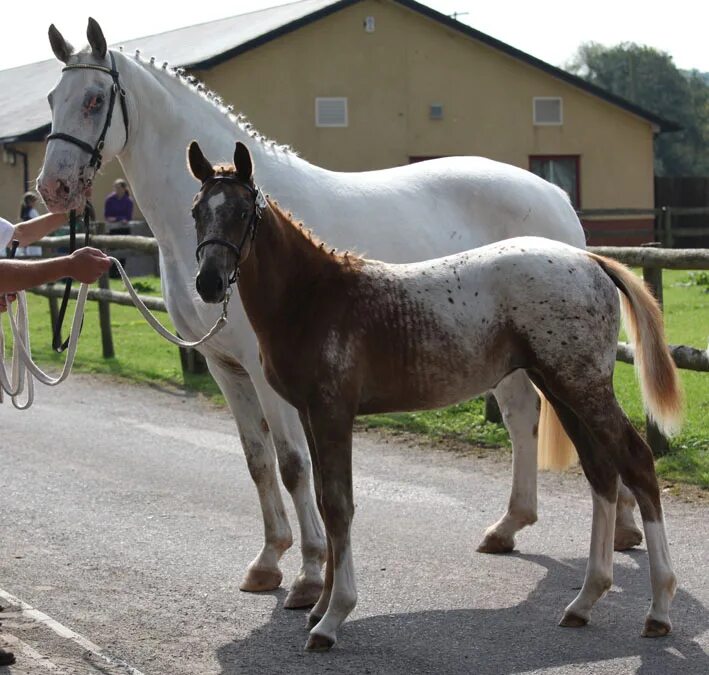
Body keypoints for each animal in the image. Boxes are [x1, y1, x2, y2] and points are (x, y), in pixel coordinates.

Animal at [36, 18, 640, 608]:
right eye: (52, 98)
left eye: (94, 99)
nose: (53, 187)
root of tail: (556, 197)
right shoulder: (223, 367)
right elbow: (258, 462)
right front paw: (268, 562)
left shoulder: (268, 373)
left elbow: (293, 464)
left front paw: (308, 574)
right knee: (522, 417)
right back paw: (511, 527)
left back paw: (623, 528)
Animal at [187, 143, 680, 656]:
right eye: (197, 211)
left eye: (243, 212)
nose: (209, 283)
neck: (315, 298)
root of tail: (592, 261)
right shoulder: (309, 414)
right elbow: (325, 502)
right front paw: (320, 608)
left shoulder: (332, 413)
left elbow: (340, 507)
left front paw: (333, 616)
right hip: (563, 389)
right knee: (601, 472)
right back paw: (585, 601)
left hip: (583, 386)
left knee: (637, 461)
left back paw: (659, 609)